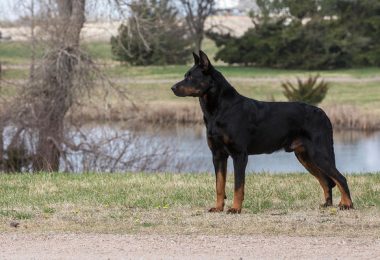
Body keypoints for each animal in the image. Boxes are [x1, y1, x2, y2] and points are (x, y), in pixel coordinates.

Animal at [171, 50, 352, 213]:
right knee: (326, 181)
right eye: (185, 75)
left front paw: (235, 209)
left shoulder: (239, 155)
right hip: (305, 156)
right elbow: (219, 185)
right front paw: (218, 207)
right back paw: (327, 204)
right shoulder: (218, 155)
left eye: (191, 77)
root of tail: (323, 113)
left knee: (340, 178)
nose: (173, 87)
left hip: (319, 153)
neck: (218, 110)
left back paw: (347, 204)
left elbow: (238, 185)